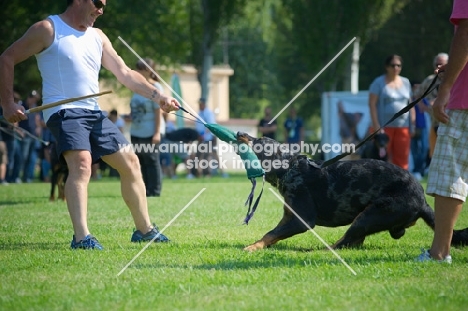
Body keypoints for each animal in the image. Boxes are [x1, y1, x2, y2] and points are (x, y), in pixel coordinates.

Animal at [238, 133, 468, 252]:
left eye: (258, 142)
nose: (241, 134)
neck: (289, 169)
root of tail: (422, 200)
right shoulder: (289, 217)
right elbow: (272, 234)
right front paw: (260, 245)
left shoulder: (302, 220)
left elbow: (271, 233)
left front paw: (252, 247)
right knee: (357, 241)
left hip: (370, 214)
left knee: (346, 241)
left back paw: (321, 250)